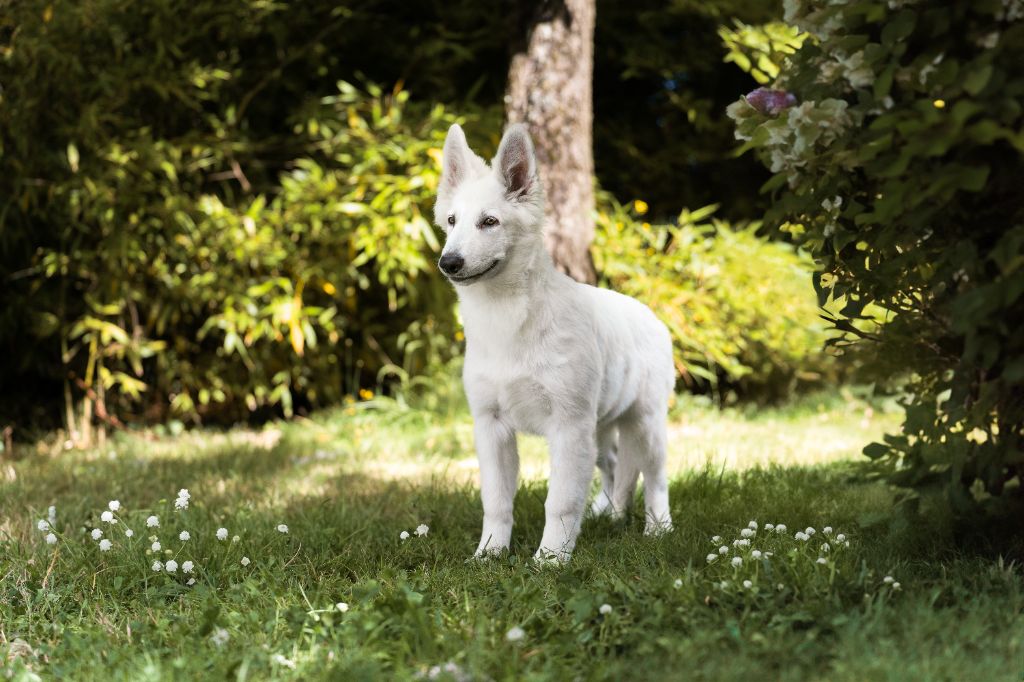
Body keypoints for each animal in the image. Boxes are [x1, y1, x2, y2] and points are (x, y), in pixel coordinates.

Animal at [436, 124, 675, 561]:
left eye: (489, 221)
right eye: (451, 221)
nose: (449, 263)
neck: (508, 321)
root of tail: (651, 316)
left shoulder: (568, 426)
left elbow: (560, 500)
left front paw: (551, 560)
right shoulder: (491, 427)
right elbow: (496, 501)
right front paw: (489, 554)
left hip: (646, 424)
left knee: (655, 477)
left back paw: (657, 528)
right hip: (601, 428)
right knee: (616, 468)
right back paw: (608, 515)